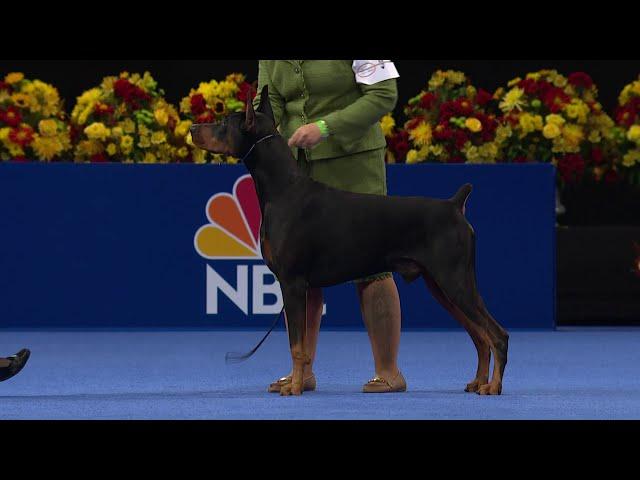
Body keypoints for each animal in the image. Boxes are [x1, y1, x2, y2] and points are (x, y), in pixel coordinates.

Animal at [190, 86, 510, 398]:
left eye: (223, 123)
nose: (193, 127)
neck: (282, 190)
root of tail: (454, 205)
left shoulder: (292, 282)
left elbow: (296, 345)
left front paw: (294, 388)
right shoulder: (296, 284)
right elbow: (301, 344)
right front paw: (295, 383)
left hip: (455, 280)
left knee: (496, 334)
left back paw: (493, 386)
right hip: (440, 284)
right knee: (480, 337)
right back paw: (478, 382)